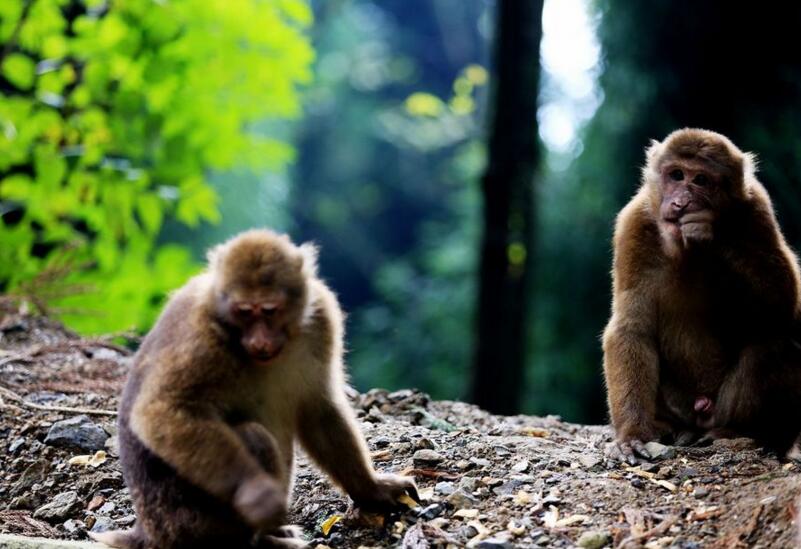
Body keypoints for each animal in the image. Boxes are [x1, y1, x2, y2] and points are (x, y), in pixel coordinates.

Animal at [92, 230, 418, 548]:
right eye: (245, 312)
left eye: (270, 311)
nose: (260, 341)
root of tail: (146, 531)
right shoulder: (198, 337)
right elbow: (160, 412)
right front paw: (256, 492)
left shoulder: (322, 319)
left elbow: (319, 411)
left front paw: (371, 489)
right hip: (181, 518)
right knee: (254, 437)